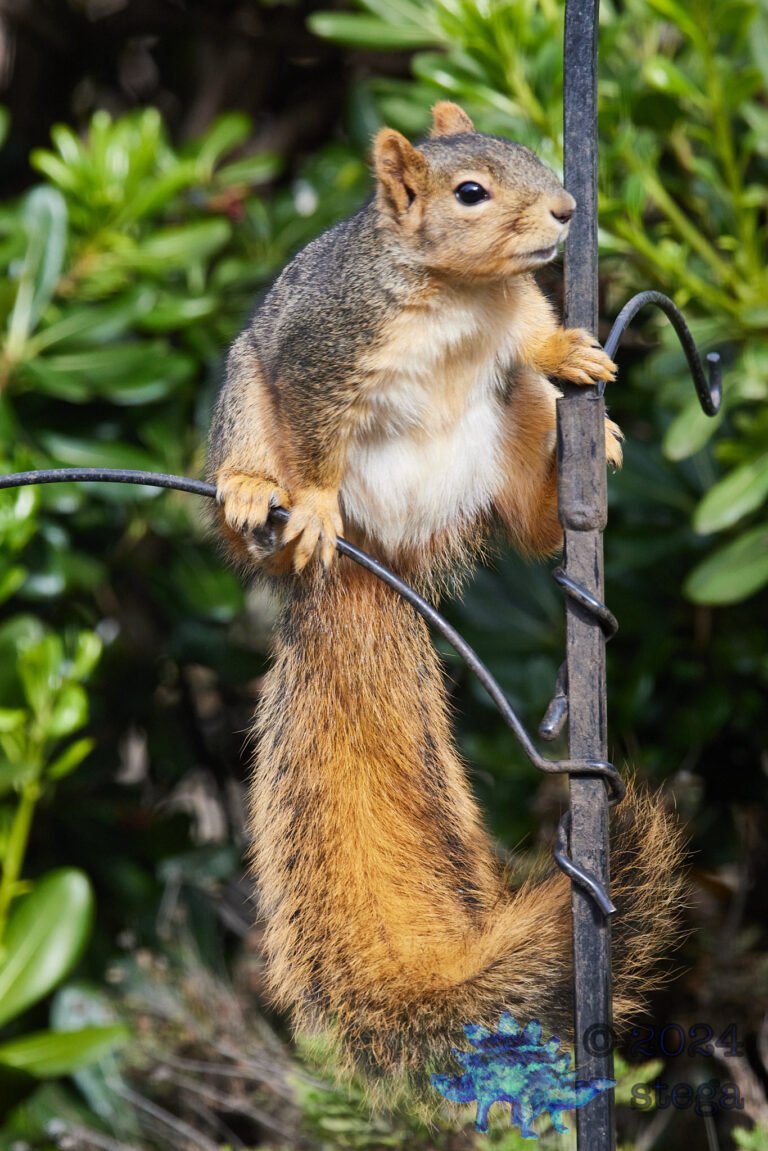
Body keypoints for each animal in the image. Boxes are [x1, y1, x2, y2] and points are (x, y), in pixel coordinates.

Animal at [208, 102, 684, 1085]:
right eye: (470, 192)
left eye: (533, 154)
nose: (567, 209)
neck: (464, 297)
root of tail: (380, 550)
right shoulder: (325, 349)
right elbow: (316, 434)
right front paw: (312, 499)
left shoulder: (517, 317)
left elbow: (535, 335)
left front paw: (572, 347)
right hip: (246, 402)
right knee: (262, 489)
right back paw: (253, 498)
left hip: (509, 426)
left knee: (536, 524)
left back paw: (576, 461)